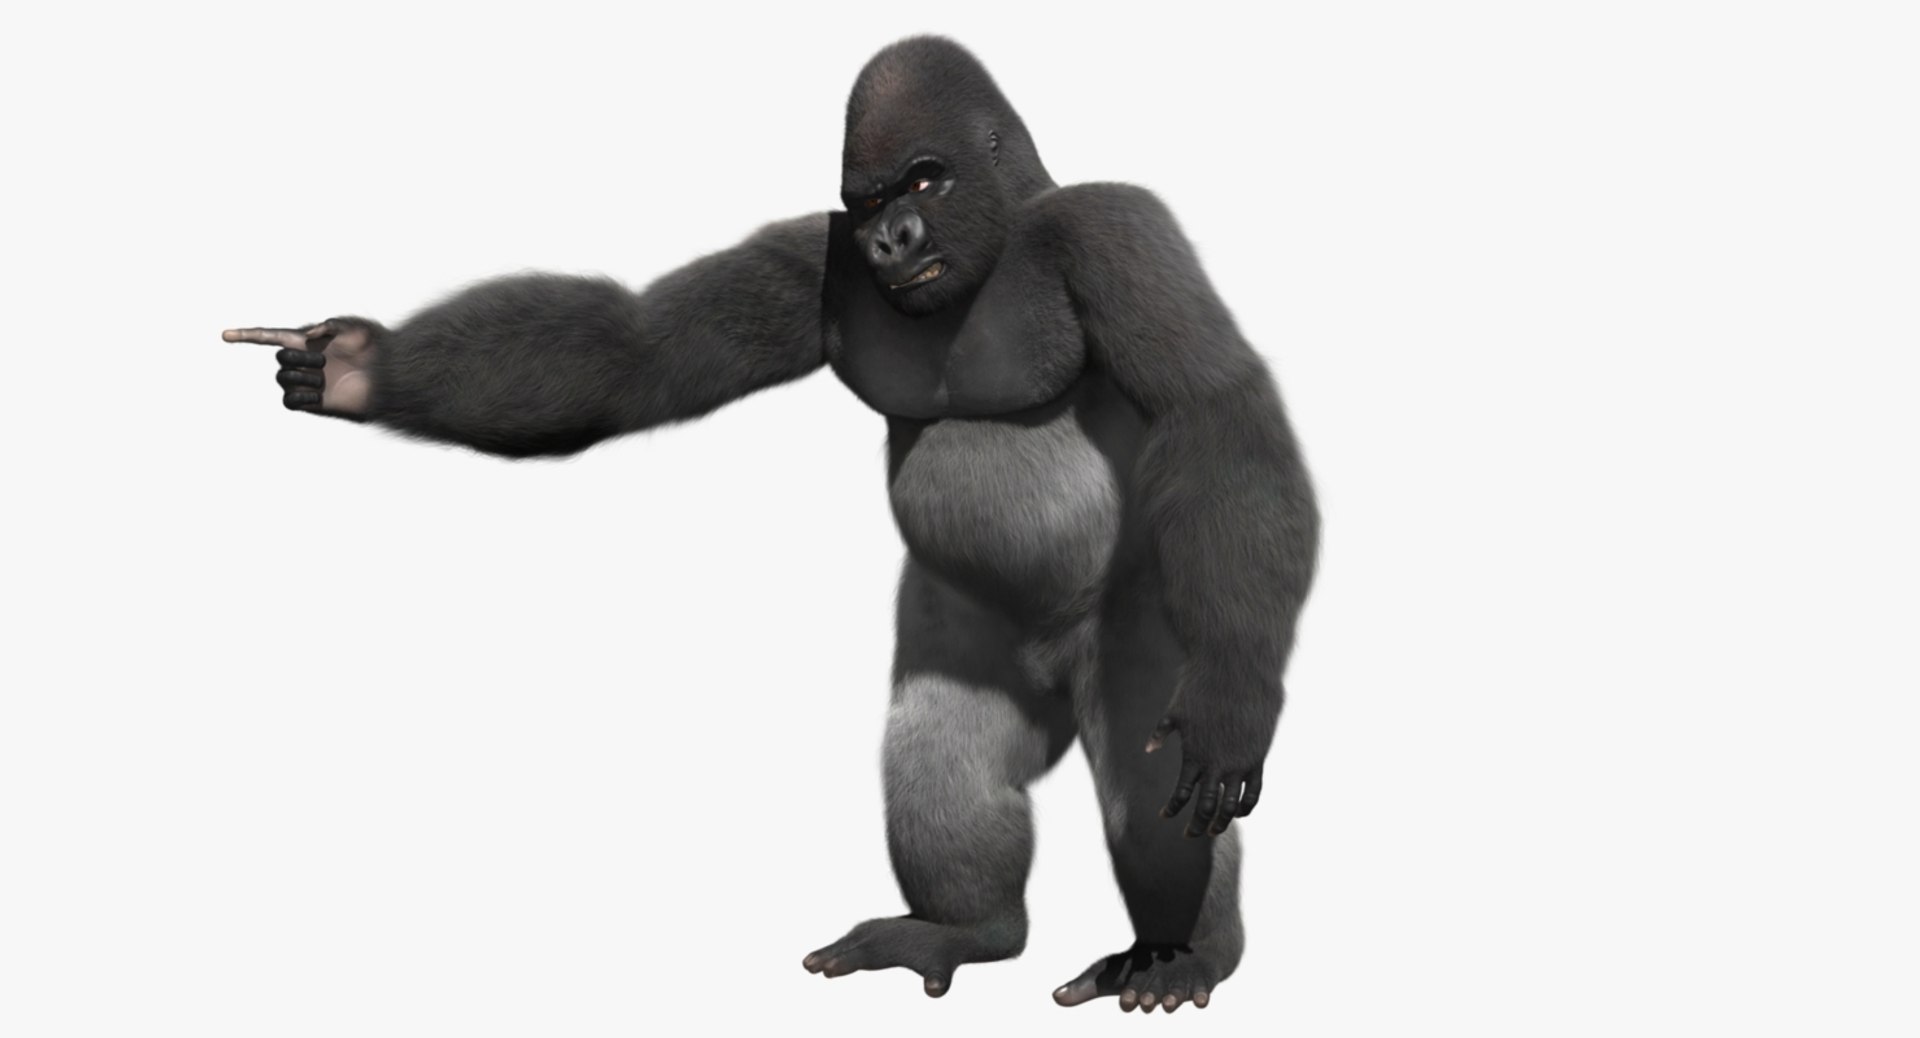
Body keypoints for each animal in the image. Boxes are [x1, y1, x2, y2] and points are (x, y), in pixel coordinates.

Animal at [223, 36, 1318, 1013]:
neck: (1000, 243)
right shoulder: (811, 252)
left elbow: (1215, 409)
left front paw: (1234, 706)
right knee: (945, 748)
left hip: (1157, 610)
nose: (890, 241)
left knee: (1144, 766)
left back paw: (1181, 951)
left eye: (925, 180)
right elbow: (638, 354)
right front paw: (364, 368)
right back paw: (968, 927)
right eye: (868, 203)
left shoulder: (1115, 229)